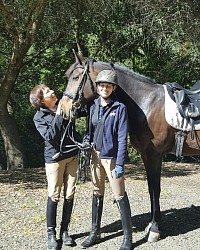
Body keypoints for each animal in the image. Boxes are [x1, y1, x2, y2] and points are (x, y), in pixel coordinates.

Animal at [62, 50, 200, 242]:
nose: (63, 108)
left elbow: (156, 188)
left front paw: (155, 230)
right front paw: (152, 224)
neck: (146, 104)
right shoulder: (146, 154)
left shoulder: (155, 154)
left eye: (75, 77)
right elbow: (150, 188)